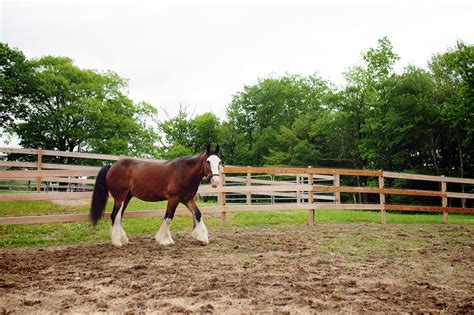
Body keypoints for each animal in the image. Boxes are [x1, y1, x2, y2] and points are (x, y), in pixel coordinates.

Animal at [89, 145, 222, 247]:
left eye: (219, 162)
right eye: (208, 161)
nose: (216, 181)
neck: (183, 173)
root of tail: (112, 166)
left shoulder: (187, 199)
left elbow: (198, 214)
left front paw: (202, 238)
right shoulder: (173, 199)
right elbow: (168, 218)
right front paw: (164, 239)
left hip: (126, 197)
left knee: (118, 216)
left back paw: (123, 239)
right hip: (120, 197)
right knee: (115, 215)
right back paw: (117, 242)